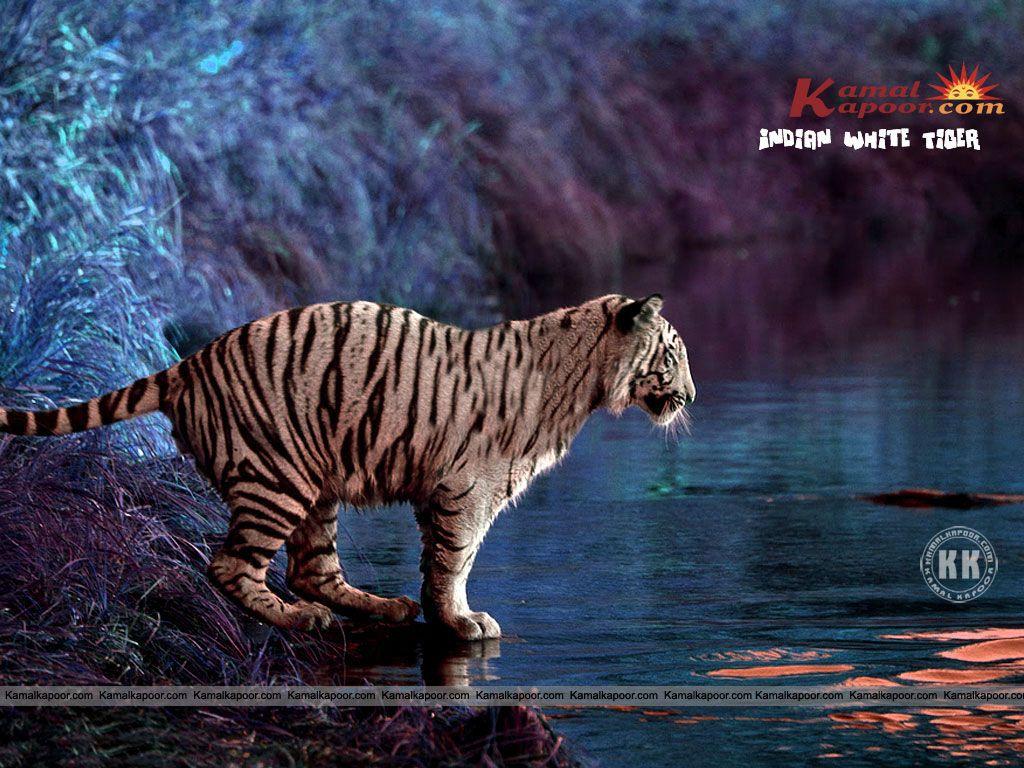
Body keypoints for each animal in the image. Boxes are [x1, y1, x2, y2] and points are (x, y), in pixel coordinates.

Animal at [0, 293, 695, 640]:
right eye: (672, 355)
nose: (691, 396)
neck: (579, 382)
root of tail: (190, 362)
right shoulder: (468, 487)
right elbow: (456, 560)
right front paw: (462, 621)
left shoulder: (446, 488)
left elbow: (442, 560)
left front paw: (440, 614)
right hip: (278, 479)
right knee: (230, 566)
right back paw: (301, 619)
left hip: (316, 486)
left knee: (310, 570)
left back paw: (382, 608)